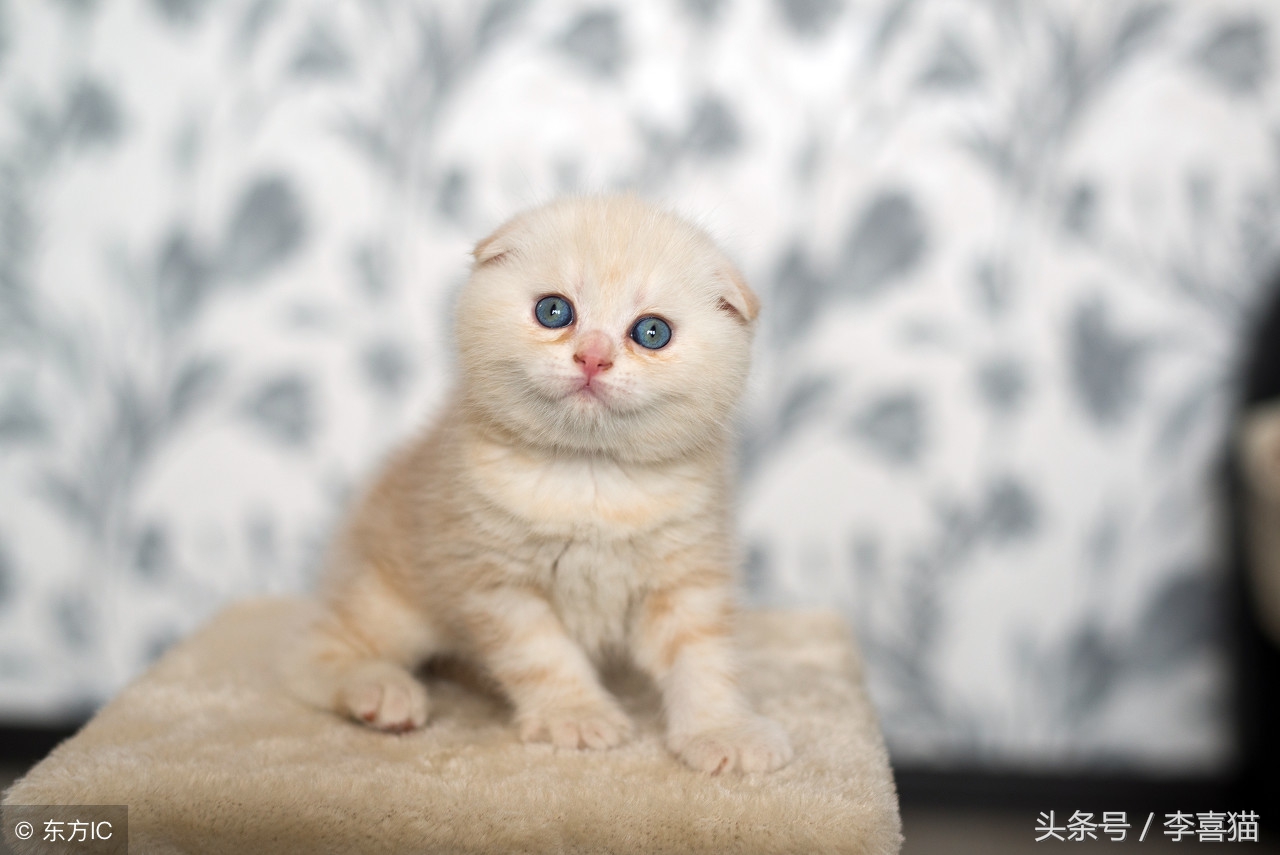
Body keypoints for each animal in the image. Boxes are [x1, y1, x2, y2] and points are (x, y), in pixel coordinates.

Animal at [286, 193, 793, 773]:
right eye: (554, 312)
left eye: (652, 333)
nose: (593, 356)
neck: (590, 478)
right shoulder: (495, 580)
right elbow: (543, 656)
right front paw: (575, 715)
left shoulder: (687, 575)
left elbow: (705, 658)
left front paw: (723, 729)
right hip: (389, 596)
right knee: (313, 651)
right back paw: (381, 692)